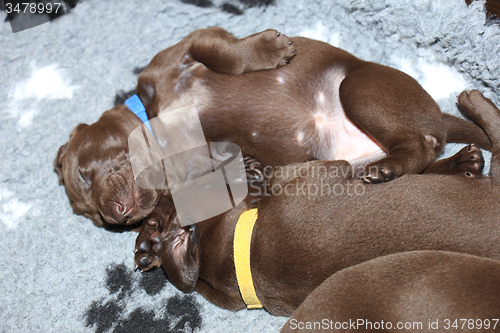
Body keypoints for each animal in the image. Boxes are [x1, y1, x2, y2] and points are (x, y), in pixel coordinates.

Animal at [54, 27, 488, 226]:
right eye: (93, 218)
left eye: (84, 172)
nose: (117, 215)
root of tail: (436, 112)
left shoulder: (186, 50)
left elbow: (223, 52)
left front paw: (270, 48)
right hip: (357, 156)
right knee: (424, 156)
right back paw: (454, 165)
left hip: (358, 90)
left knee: (419, 145)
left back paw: (393, 168)